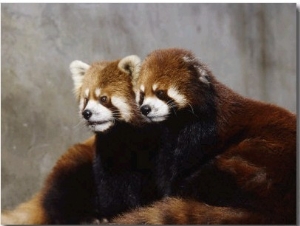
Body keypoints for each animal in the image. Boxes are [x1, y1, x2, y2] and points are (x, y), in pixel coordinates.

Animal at [111, 48, 296, 224]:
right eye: (141, 95)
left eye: (160, 93)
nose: (145, 109)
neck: (177, 123)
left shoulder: (203, 133)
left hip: (259, 159)